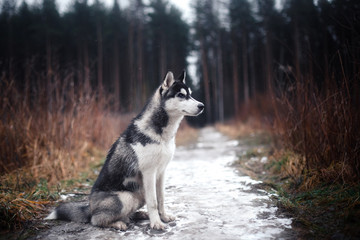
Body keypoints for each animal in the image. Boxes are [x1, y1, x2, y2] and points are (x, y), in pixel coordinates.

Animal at [45, 71, 205, 231]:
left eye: (190, 94)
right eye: (181, 95)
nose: (202, 105)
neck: (161, 135)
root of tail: (89, 206)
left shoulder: (161, 172)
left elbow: (161, 198)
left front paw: (164, 217)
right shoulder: (149, 173)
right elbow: (153, 202)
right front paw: (156, 223)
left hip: (138, 195)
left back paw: (139, 215)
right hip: (125, 197)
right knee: (96, 220)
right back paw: (118, 223)